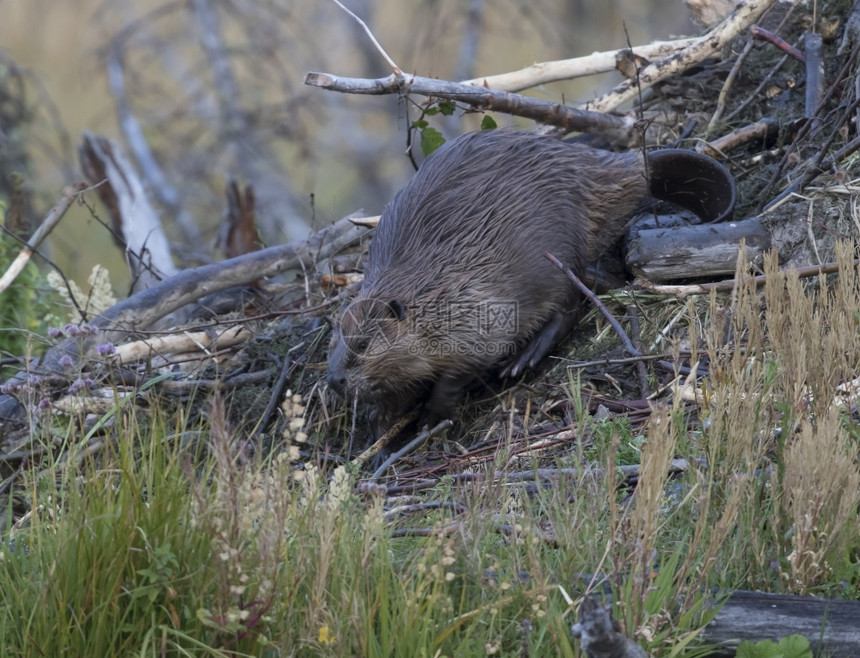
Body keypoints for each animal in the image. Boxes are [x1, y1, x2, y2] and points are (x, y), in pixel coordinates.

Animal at [328, 129, 732, 426]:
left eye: (363, 344)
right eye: (336, 340)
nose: (334, 381)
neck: (428, 289)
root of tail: (631, 166)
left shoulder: (477, 305)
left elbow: (476, 354)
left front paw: (433, 412)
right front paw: (380, 417)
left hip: (558, 253)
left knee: (571, 303)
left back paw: (525, 358)